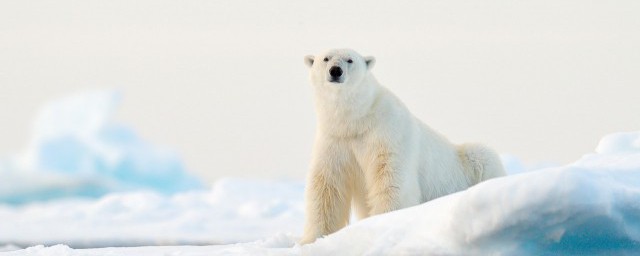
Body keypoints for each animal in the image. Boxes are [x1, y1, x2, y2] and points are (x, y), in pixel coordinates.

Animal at [300, 48, 504, 244]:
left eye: (350, 60)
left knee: (482, 157)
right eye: (326, 58)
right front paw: (312, 239)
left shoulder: (387, 131)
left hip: (469, 163)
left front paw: (384, 221)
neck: (357, 120)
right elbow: (327, 186)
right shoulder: (335, 140)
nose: (335, 71)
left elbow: (390, 177)